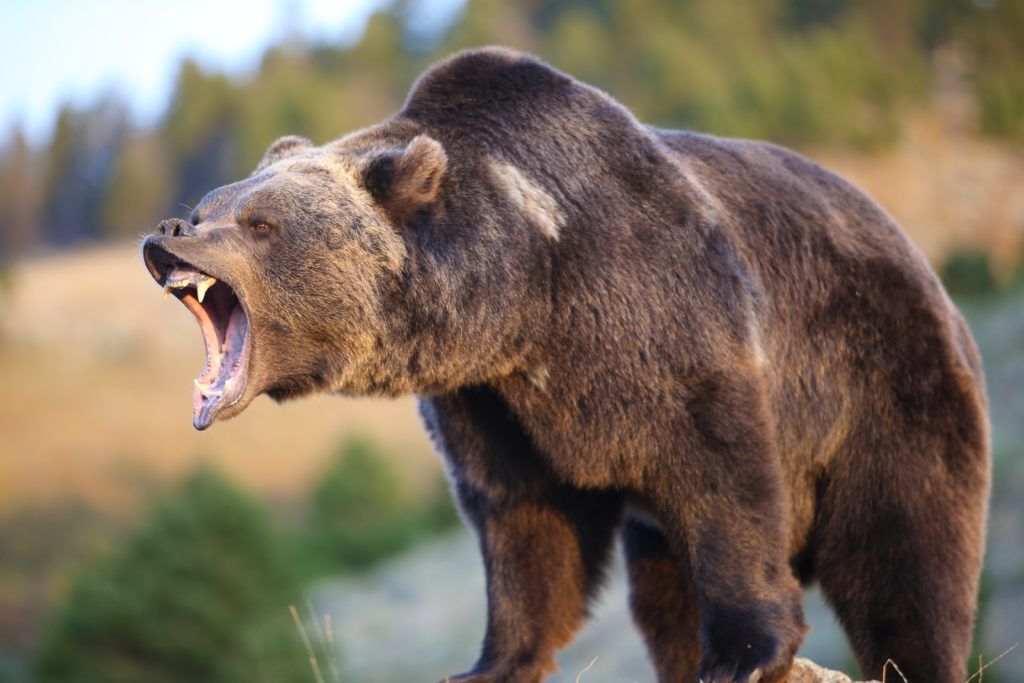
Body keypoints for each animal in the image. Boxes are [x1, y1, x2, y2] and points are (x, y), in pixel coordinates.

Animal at [142, 47, 990, 683]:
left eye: (259, 223)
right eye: (210, 203)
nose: (168, 231)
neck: (527, 295)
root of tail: (921, 261)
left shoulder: (663, 314)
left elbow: (724, 477)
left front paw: (746, 653)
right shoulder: (491, 400)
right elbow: (521, 519)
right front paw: (487, 662)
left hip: (885, 381)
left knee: (906, 556)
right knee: (663, 594)